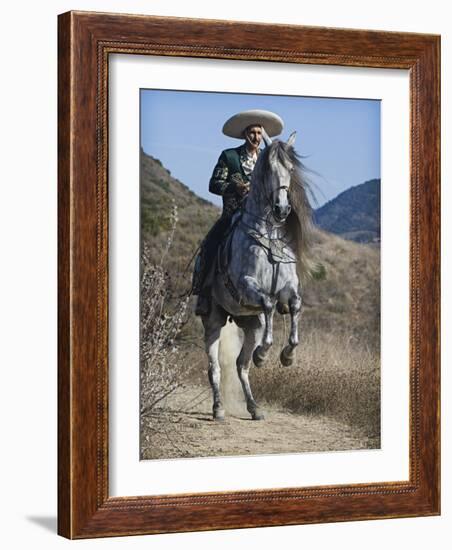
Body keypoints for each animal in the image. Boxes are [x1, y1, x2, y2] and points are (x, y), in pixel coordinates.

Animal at [202, 133, 314, 422]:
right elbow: (268, 303)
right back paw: (218, 409)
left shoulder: (289, 288)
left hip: (251, 325)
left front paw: (287, 356)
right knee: (214, 367)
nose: (283, 209)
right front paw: (263, 355)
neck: (268, 236)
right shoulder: (246, 285)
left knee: (241, 366)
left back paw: (254, 408)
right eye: (269, 169)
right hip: (214, 320)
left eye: (291, 169)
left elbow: (294, 306)